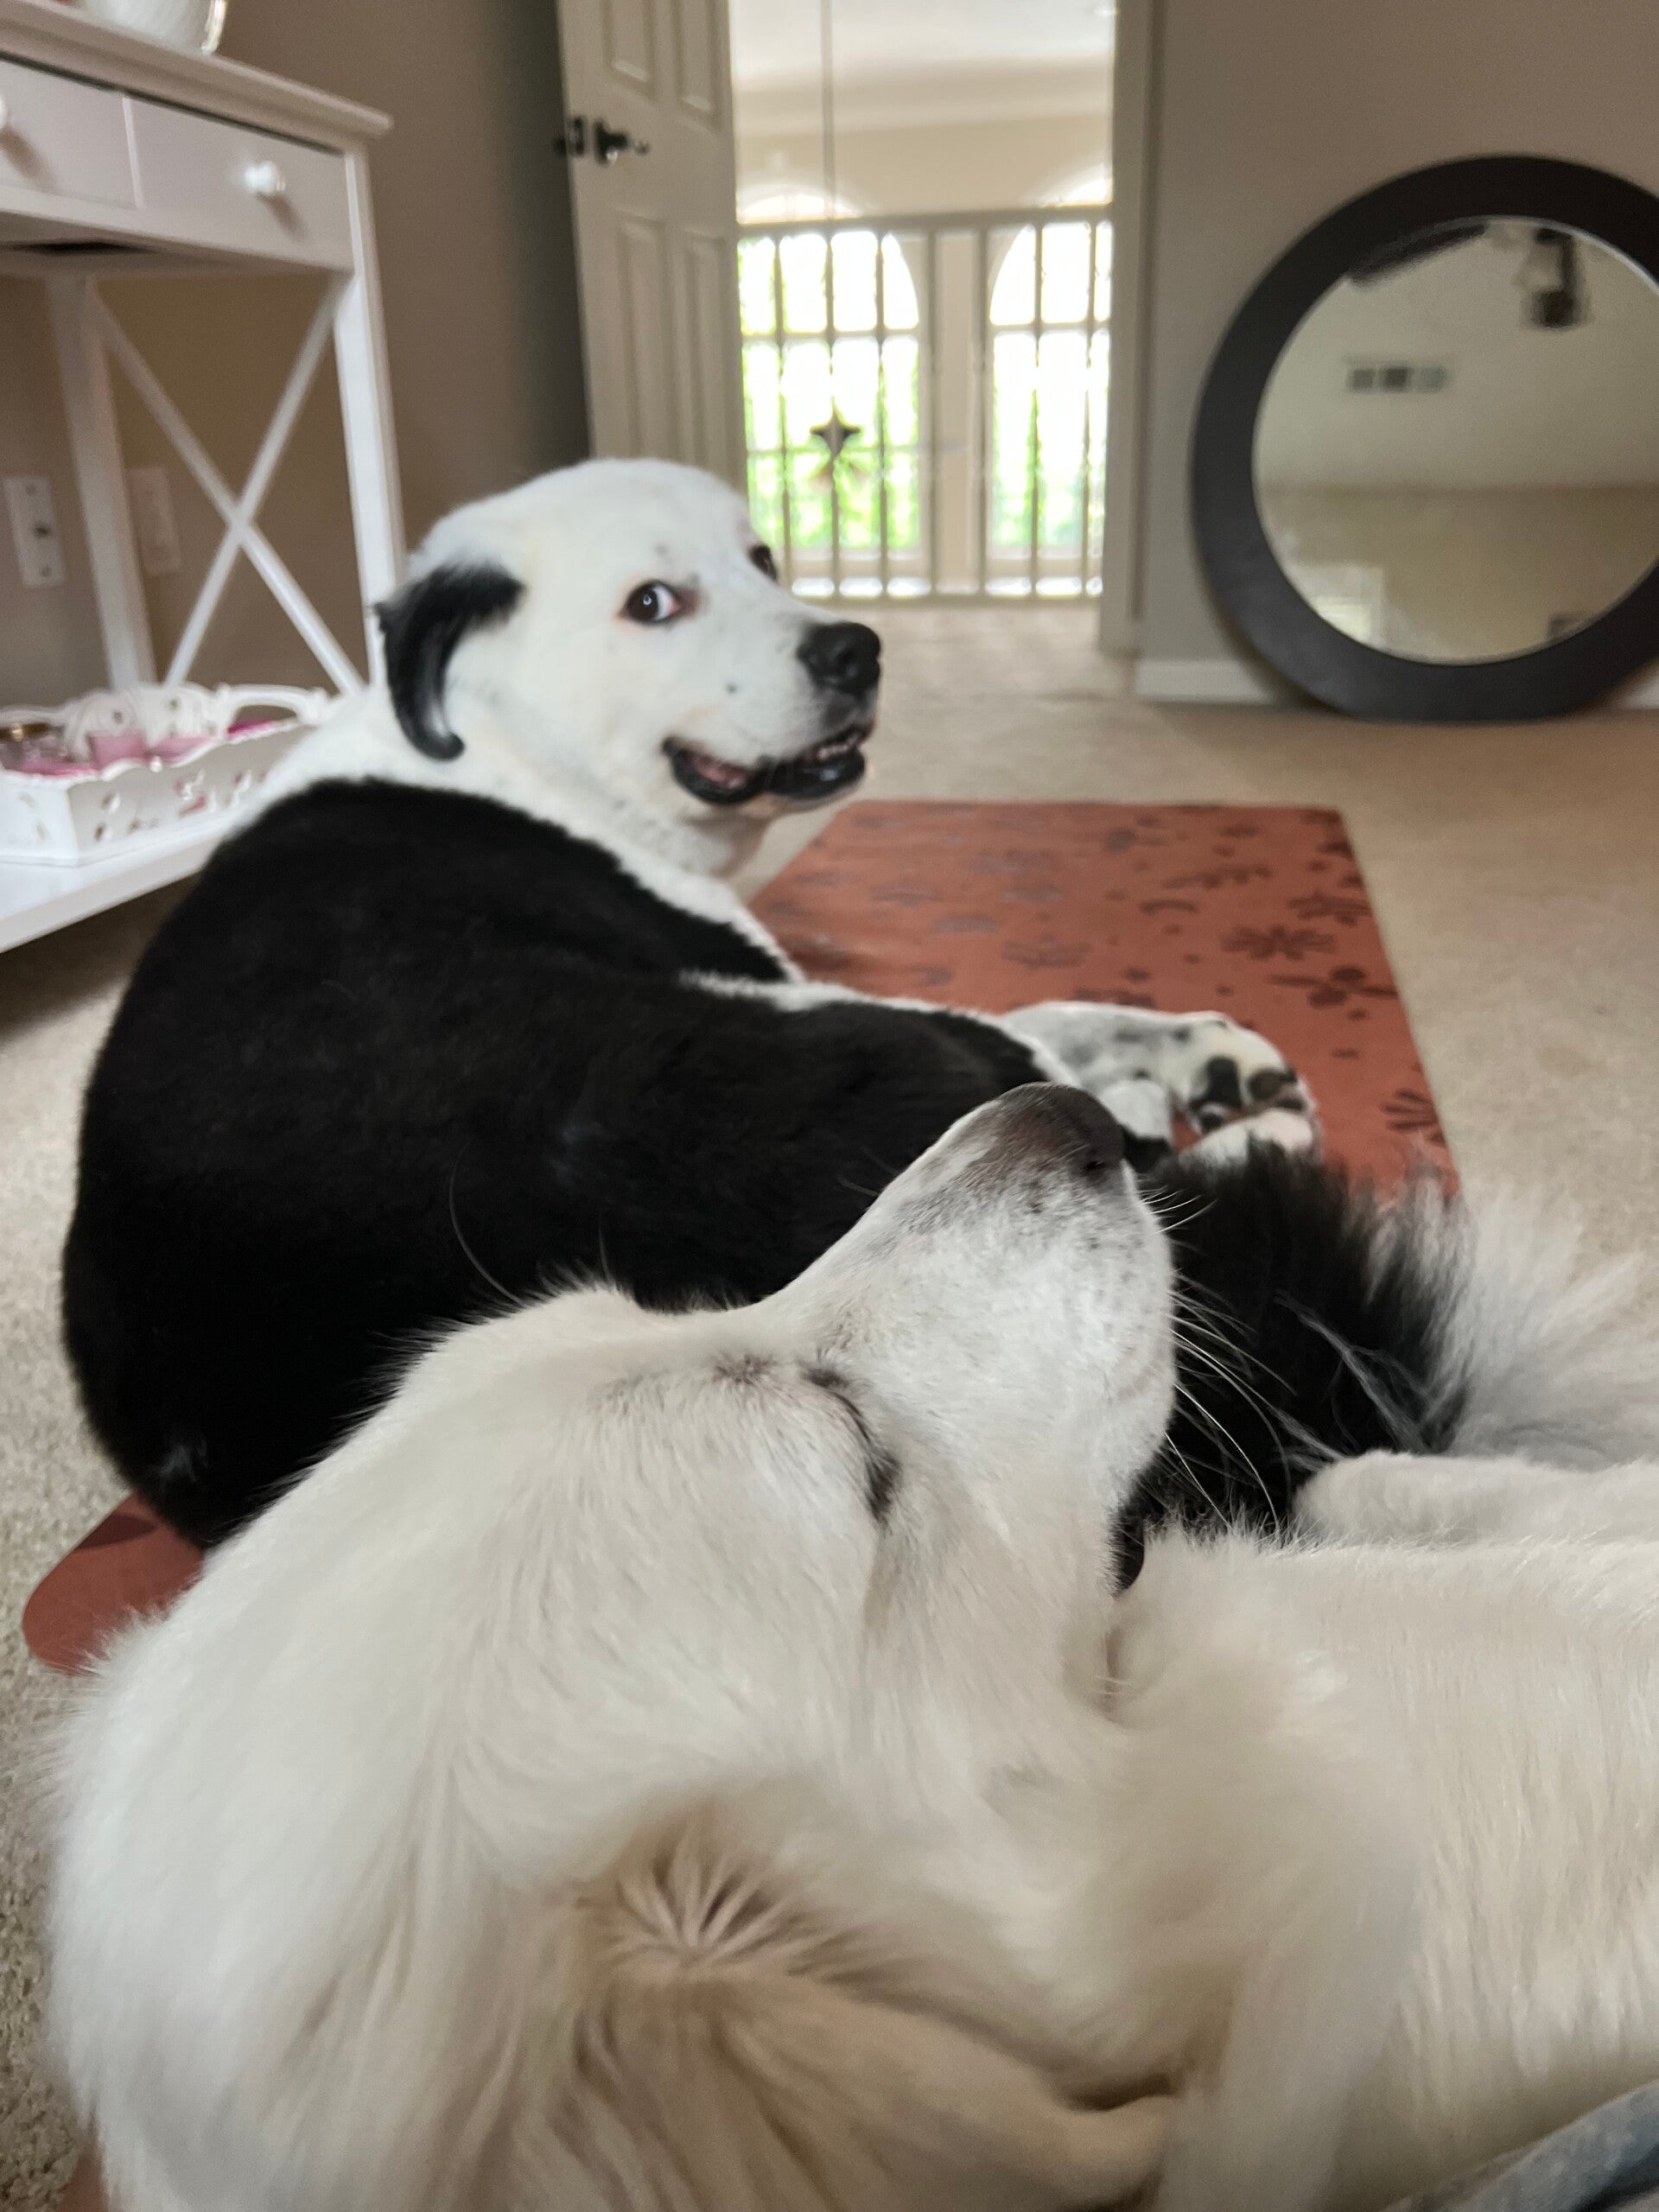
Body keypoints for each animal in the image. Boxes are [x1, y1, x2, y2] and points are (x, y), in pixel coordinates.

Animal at [63, 456, 1333, 1548]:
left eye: (763, 555)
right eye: (653, 602)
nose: (856, 648)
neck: (505, 752)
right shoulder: (823, 992)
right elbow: (1061, 1014)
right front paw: (1201, 1061)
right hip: (861, 1046)